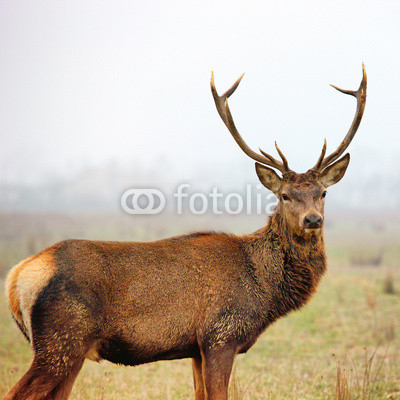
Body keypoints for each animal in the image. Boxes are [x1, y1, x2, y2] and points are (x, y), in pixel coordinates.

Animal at [3, 64, 368, 398]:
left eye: (323, 193)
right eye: (285, 195)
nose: (312, 220)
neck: (263, 290)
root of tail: (16, 277)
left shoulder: (195, 349)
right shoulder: (220, 336)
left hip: (68, 351)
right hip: (62, 340)